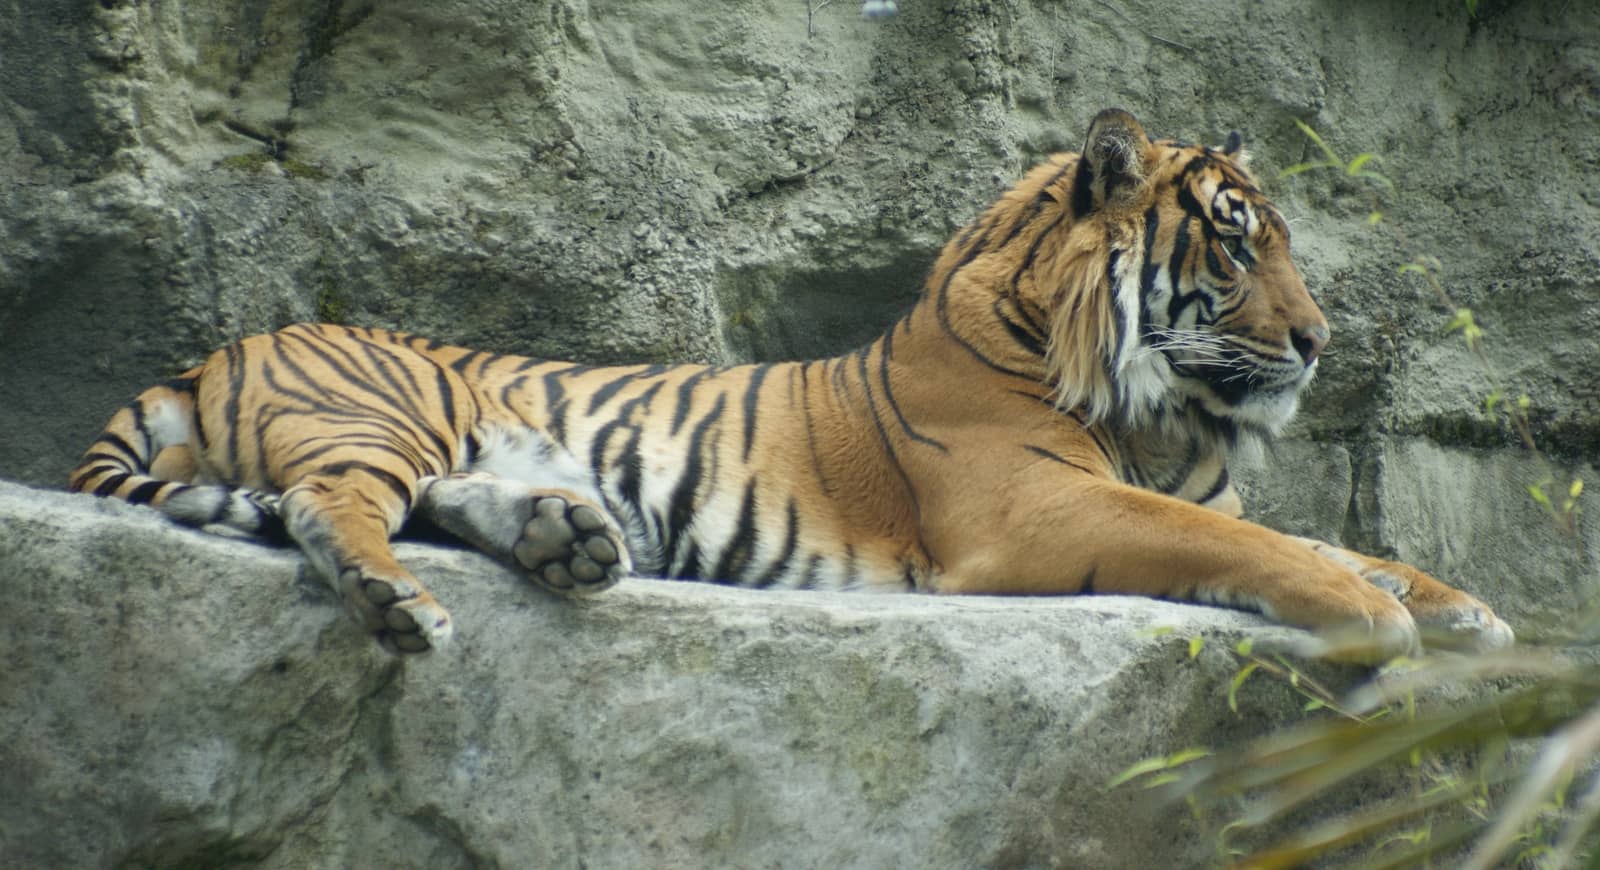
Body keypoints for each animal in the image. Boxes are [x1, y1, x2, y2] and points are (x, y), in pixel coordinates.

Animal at [70, 108, 1512, 661]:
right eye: (1235, 239)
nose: (1320, 341)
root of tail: (215, 349)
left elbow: (1315, 531)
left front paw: (1464, 607)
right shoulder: (1032, 510)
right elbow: (1251, 543)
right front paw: (1371, 611)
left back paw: (569, 537)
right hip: (381, 411)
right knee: (332, 507)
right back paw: (400, 601)